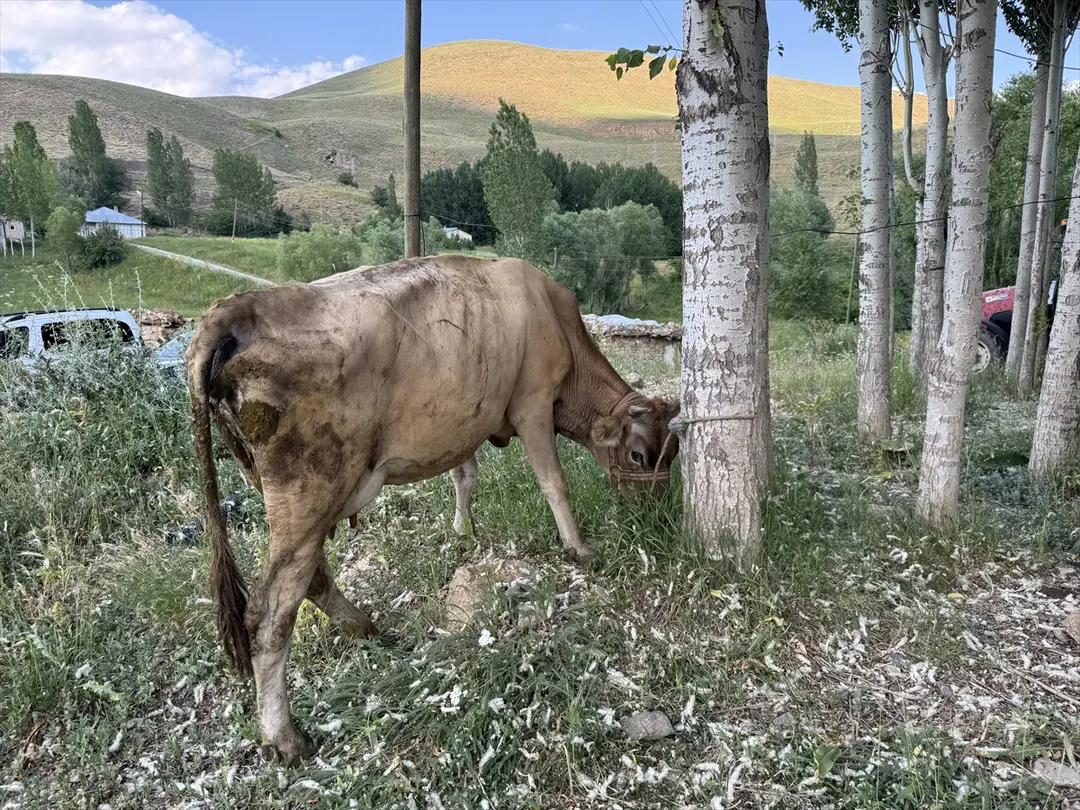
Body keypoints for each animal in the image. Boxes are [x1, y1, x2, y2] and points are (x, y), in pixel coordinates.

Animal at [186, 255, 680, 765]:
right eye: (639, 456)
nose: (658, 509)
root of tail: (237, 307)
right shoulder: (533, 403)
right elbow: (553, 483)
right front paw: (578, 547)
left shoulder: (465, 421)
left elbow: (464, 474)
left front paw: (464, 529)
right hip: (308, 487)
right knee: (270, 615)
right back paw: (285, 736)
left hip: (280, 488)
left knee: (312, 576)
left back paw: (364, 626)